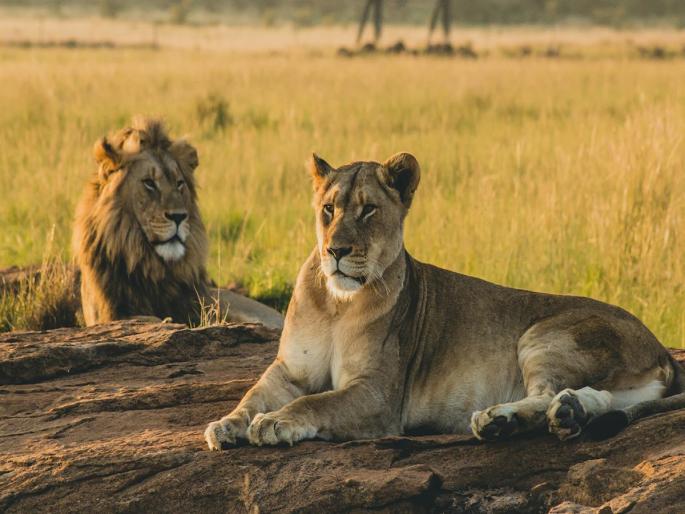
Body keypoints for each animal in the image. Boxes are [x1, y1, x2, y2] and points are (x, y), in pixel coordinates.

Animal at [204, 152, 684, 450]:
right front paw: (226, 425)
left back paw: (502, 419)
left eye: (368, 210)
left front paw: (276, 422)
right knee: (595, 397)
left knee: (548, 391)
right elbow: (253, 394)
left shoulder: (378, 396)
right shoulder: (290, 370)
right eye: (328, 209)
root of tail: (662, 349)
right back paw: (564, 414)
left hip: (545, 334)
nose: (336, 250)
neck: (337, 304)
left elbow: (316, 402)